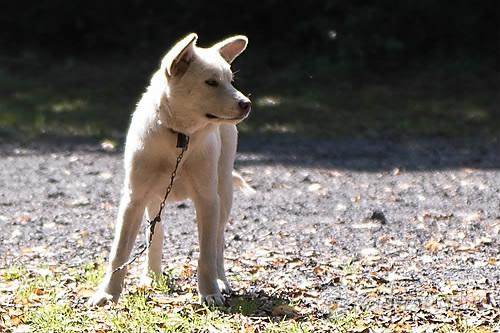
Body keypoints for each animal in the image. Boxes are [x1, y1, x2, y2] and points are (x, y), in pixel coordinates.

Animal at [89, 33, 254, 306]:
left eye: (230, 81)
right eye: (211, 82)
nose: (247, 104)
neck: (179, 136)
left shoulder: (208, 200)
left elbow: (206, 253)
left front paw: (210, 293)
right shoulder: (133, 198)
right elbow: (120, 252)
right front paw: (107, 294)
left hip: (223, 191)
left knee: (218, 241)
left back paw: (221, 281)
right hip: (154, 197)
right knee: (155, 234)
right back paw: (151, 276)